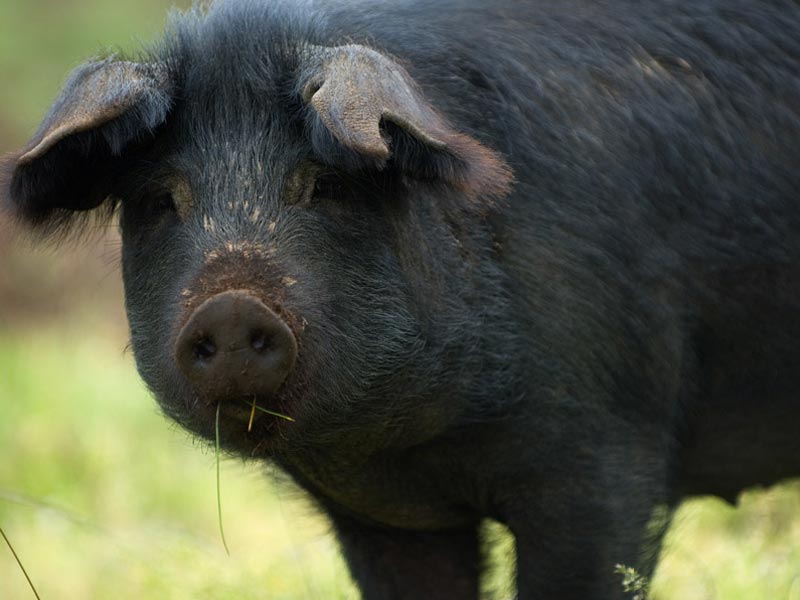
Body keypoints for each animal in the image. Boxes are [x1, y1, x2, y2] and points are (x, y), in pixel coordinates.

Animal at [1, 0, 800, 596]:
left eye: (326, 184)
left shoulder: (609, 449)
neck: (415, 448)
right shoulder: (391, 521)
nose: (230, 306)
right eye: (159, 199)